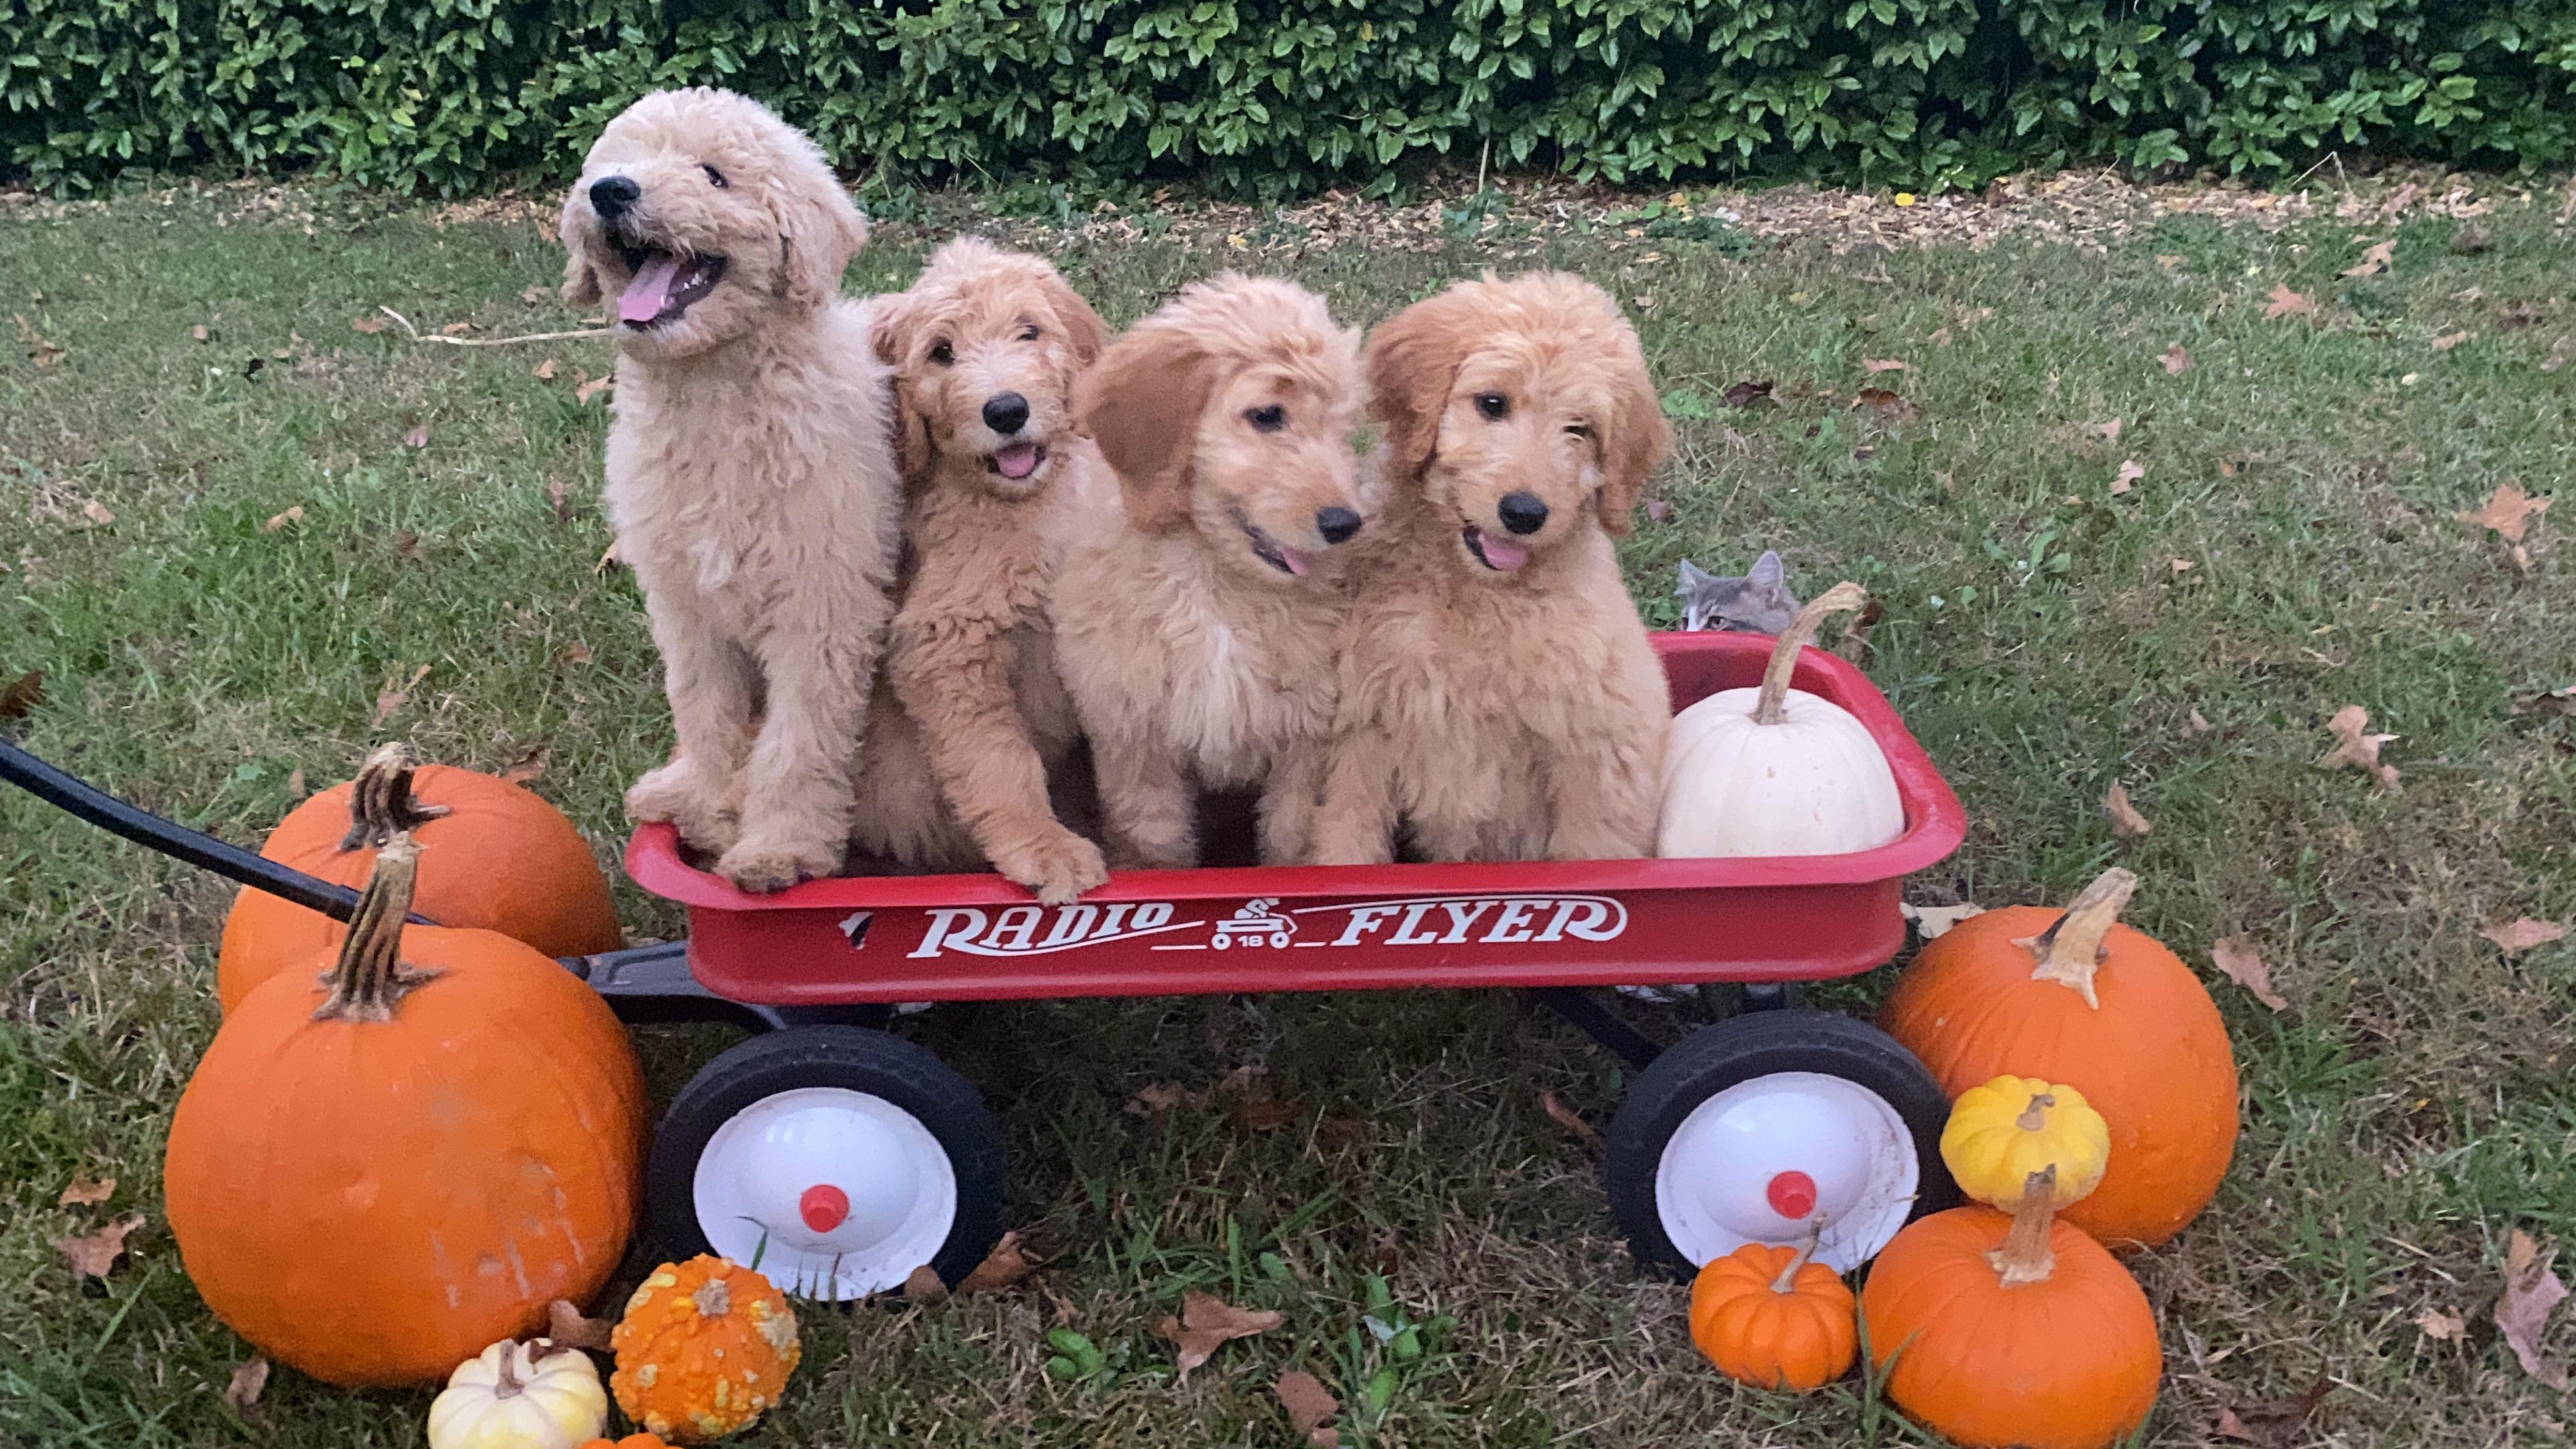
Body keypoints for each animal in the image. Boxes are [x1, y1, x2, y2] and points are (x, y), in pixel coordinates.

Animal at [560, 88, 899, 892]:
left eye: (713, 175)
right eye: (618, 160)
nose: (610, 192)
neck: (715, 394)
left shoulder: (822, 606)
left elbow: (799, 739)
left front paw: (778, 847)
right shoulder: (688, 608)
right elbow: (702, 709)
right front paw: (705, 806)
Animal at [848, 237, 1112, 902]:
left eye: (1029, 331)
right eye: (941, 352)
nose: (1007, 410)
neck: (1033, 502)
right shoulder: (946, 642)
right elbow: (997, 758)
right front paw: (1044, 845)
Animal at [1055, 274, 1372, 869]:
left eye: (1343, 429)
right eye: (1267, 416)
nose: (1346, 524)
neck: (1214, 580)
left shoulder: (1305, 735)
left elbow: (1289, 837)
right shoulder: (1135, 735)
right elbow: (1154, 842)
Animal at [1312, 272, 1674, 863]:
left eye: (1580, 429)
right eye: (1492, 403)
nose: (1524, 513)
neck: (1477, 593)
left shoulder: (1598, 747)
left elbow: (1590, 848)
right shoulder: (1365, 726)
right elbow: (1347, 834)